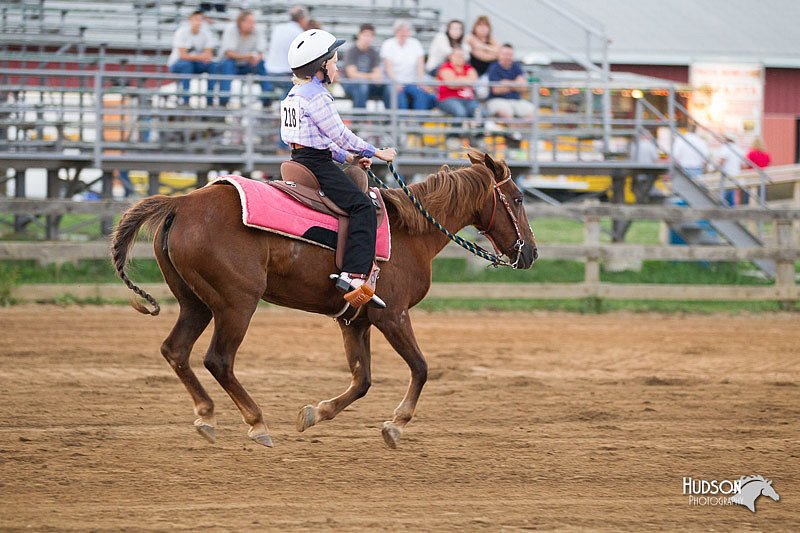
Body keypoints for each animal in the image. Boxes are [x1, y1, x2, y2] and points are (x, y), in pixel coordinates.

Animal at [111, 151, 536, 448]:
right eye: (516, 199)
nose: (530, 253)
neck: (410, 231)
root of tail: (180, 203)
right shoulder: (393, 315)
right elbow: (420, 367)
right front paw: (395, 425)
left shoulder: (355, 320)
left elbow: (362, 380)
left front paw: (316, 413)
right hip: (236, 303)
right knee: (218, 359)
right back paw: (257, 423)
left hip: (195, 303)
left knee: (176, 350)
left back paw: (206, 416)